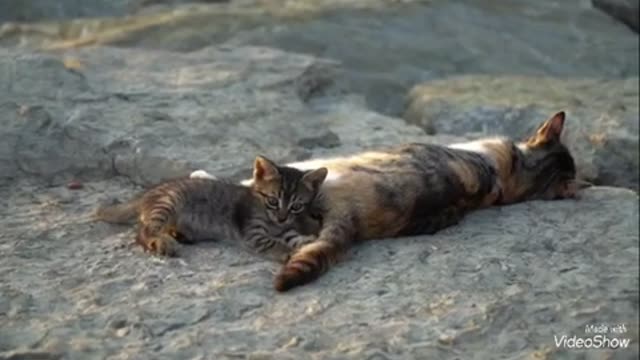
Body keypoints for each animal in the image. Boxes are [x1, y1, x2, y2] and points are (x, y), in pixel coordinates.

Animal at [97, 155, 328, 262]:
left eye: (296, 206)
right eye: (272, 200)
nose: (281, 217)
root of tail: (147, 194)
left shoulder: (286, 228)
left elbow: (294, 236)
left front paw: (308, 241)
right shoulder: (252, 233)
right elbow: (274, 243)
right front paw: (290, 252)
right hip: (168, 203)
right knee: (143, 231)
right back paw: (161, 242)